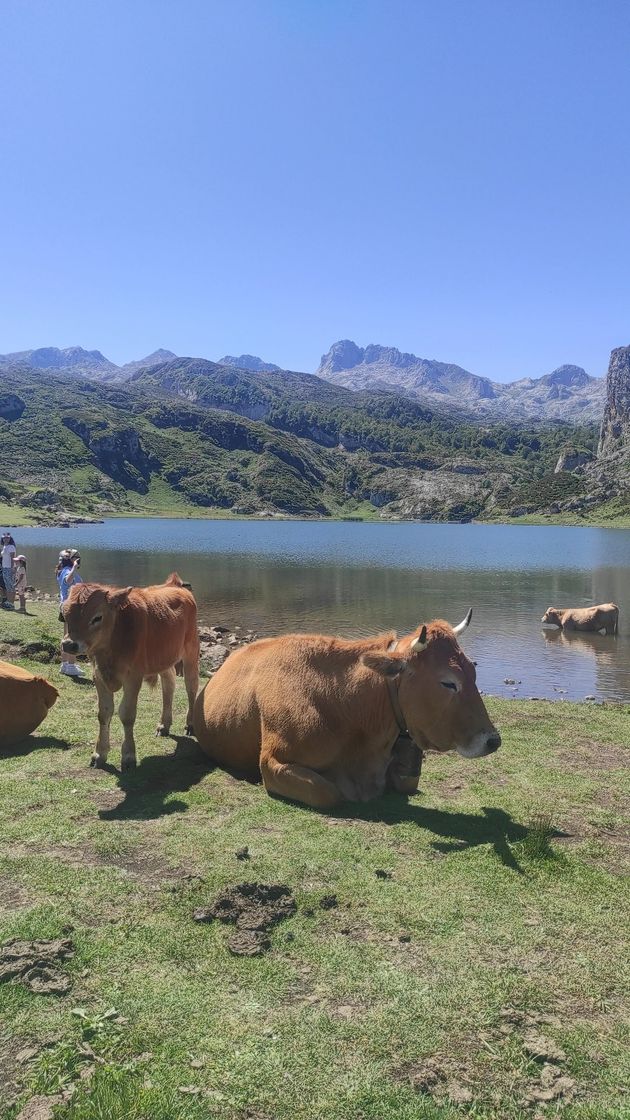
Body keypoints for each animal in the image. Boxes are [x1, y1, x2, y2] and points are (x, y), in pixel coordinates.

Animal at [60, 573, 198, 766]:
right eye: (65, 614)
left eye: (97, 617)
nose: (68, 644)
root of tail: (175, 585)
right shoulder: (98, 676)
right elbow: (104, 713)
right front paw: (99, 754)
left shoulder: (133, 677)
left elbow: (127, 714)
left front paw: (128, 755)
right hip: (164, 658)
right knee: (168, 685)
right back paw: (164, 724)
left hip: (191, 651)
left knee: (191, 686)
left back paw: (190, 724)